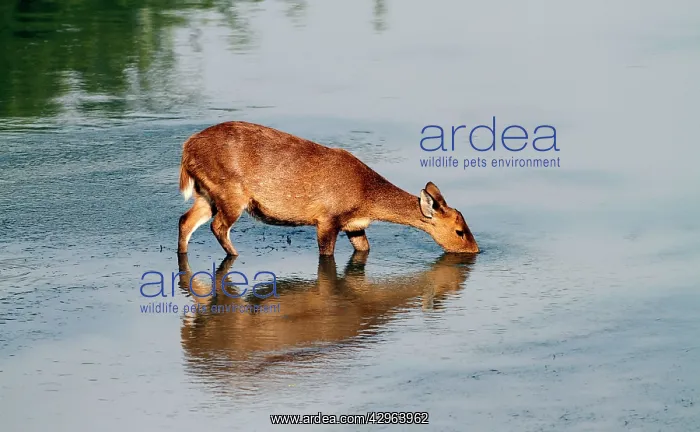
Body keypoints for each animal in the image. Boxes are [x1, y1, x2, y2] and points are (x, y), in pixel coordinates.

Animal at [177, 121, 479, 256]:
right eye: (459, 231)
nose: (475, 251)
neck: (366, 195)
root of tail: (187, 148)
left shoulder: (354, 225)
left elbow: (364, 249)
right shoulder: (327, 219)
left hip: (207, 194)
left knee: (185, 221)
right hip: (231, 192)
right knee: (218, 226)